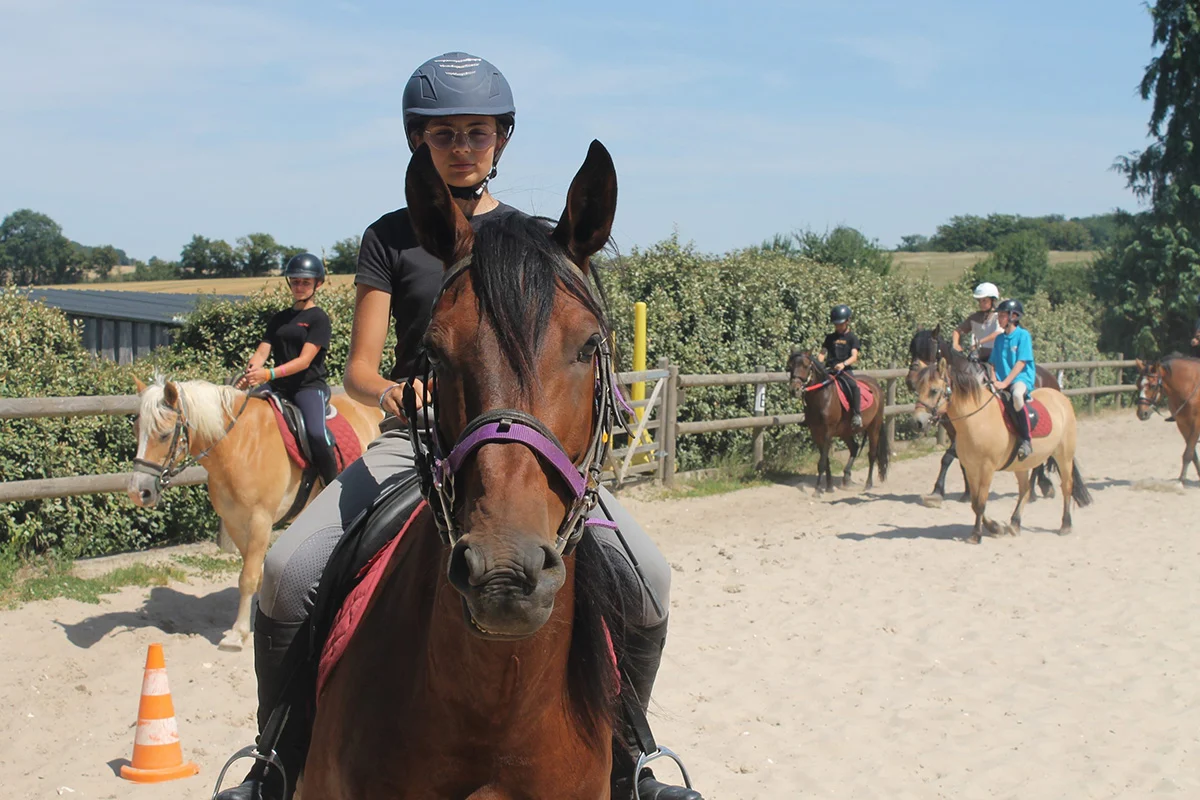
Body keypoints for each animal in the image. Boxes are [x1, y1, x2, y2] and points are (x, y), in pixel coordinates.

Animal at [127, 377, 382, 651]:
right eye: (136, 430)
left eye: (164, 435)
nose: (138, 492)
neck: (239, 444)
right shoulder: (235, 522)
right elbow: (255, 575)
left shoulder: (261, 520)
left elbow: (247, 577)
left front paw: (237, 634)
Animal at [786, 350, 889, 493]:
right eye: (790, 366)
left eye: (806, 366)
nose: (794, 389)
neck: (822, 396)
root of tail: (876, 386)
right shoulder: (816, 433)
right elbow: (825, 460)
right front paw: (829, 487)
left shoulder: (828, 432)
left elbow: (822, 462)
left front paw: (817, 490)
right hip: (845, 431)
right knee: (854, 448)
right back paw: (846, 478)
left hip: (874, 427)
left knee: (872, 454)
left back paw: (868, 484)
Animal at [907, 326, 1059, 505]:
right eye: (912, 350)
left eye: (928, 350)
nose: (910, 381)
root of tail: (1051, 378)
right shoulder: (955, 432)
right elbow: (962, 461)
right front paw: (967, 493)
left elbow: (948, 457)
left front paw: (938, 491)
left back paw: (1033, 493)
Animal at [911, 356, 1092, 544]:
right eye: (917, 389)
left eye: (933, 390)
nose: (917, 422)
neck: (977, 419)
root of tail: (1059, 396)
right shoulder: (971, 468)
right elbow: (974, 502)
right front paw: (995, 527)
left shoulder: (987, 468)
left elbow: (981, 502)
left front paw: (976, 535)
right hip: (1022, 465)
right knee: (1025, 489)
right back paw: (1015, 523)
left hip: (1064, 456)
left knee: (1066, 486)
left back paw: (1065, 525)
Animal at [1135, 355, 1200, 484]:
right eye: (1138, 384)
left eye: (1153, 386)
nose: (1142, 413)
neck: (1190, 386)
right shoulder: (1183, 424)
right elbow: (1192, 453)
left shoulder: (1196, 423)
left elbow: (1188, 453)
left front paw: (1181, 481)